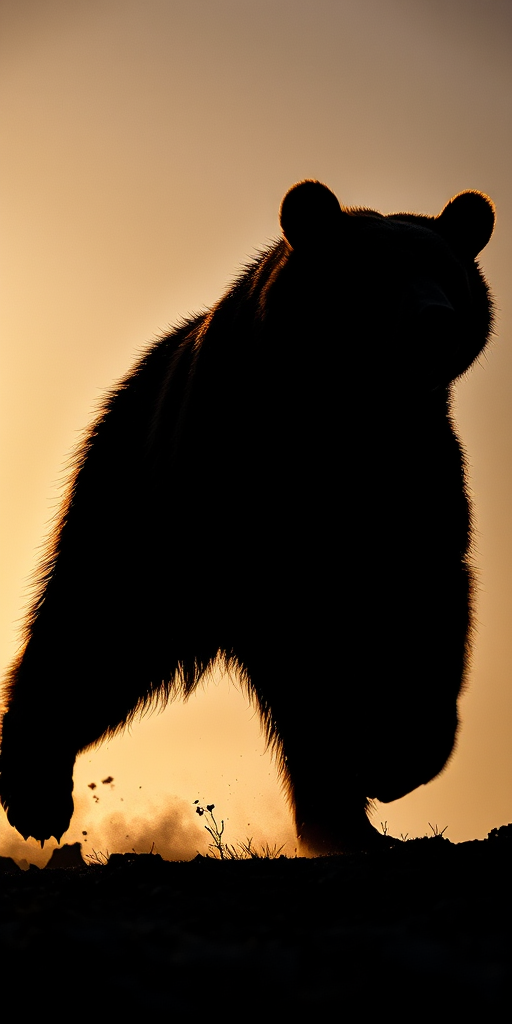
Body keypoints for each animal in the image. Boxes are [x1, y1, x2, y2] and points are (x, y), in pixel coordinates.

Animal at [0, 180, 495, 854]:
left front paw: (393, 759)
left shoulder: (412, 476)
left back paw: (349, 824)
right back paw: (36, 795)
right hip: (143, 503)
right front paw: (372, 764)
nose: (435, 320)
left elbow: (423, 606)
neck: (350, 412)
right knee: (98, 629)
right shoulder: (245, 479)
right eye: (377, 272)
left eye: (447, 271)